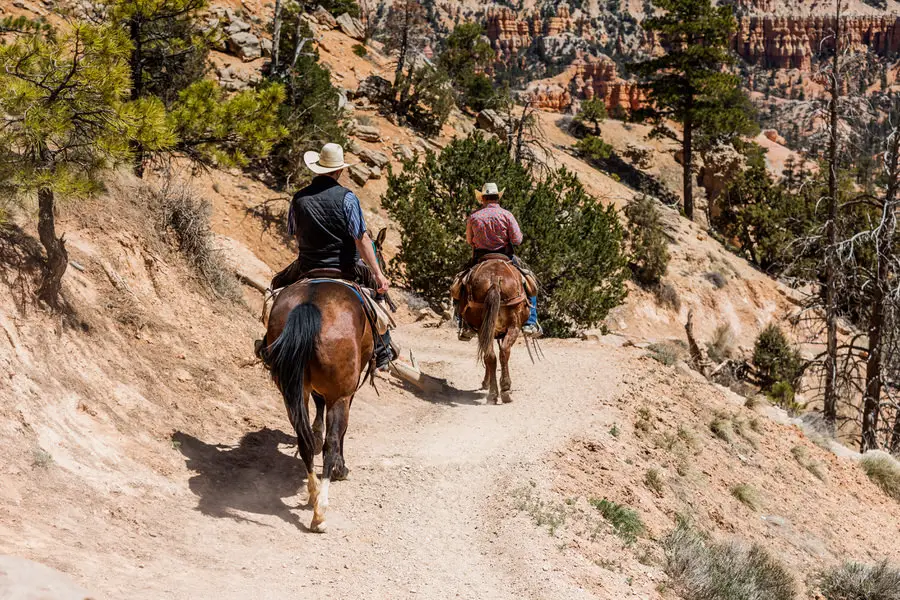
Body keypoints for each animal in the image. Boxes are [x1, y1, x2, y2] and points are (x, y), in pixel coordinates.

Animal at [460, 256, 532, 404]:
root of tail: (494, 278)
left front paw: (486, 383)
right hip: (513, 327)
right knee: (503, 352)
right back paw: (504, 390)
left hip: (486, 328)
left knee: (491, 355)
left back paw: (494, 393)